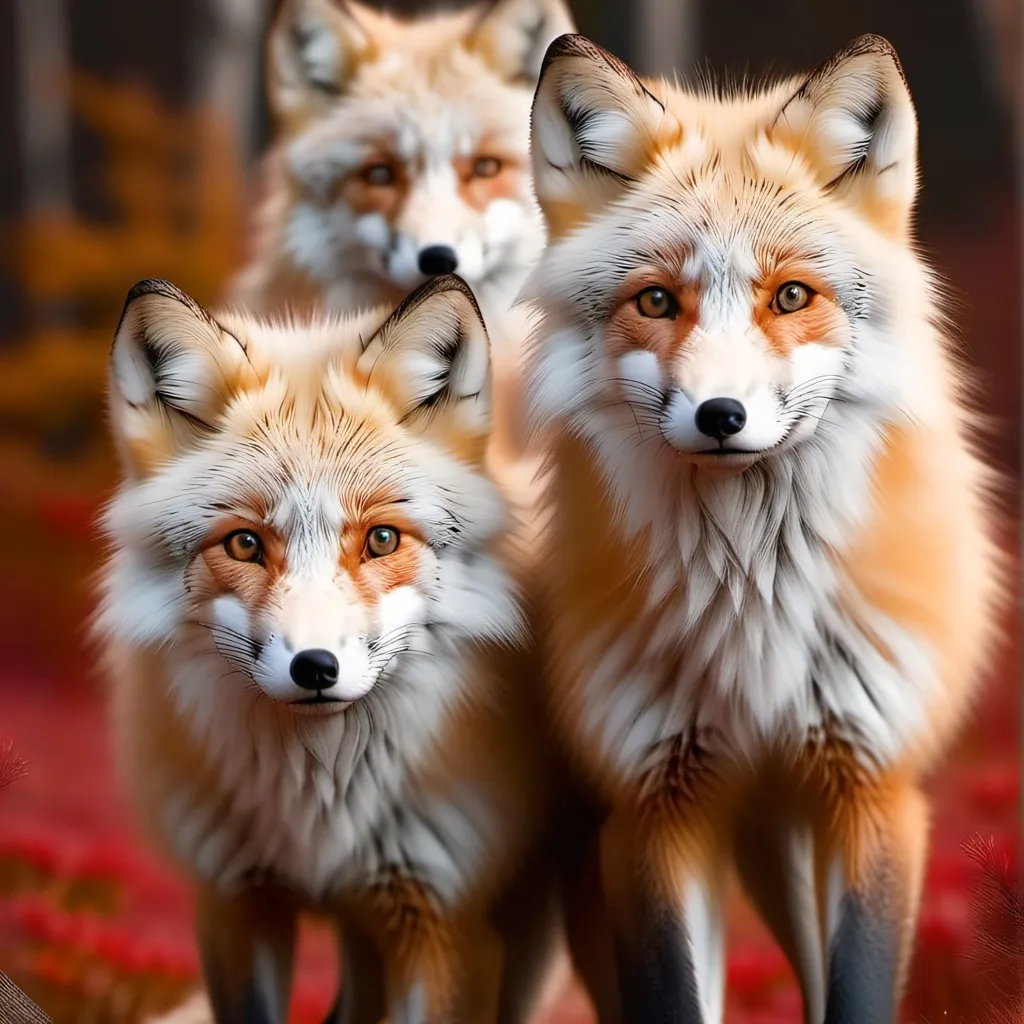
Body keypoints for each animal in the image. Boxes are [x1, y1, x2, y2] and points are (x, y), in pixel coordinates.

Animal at [95, 274, 560, 1024]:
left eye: (381, 539)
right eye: (244, 543)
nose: (315, 668)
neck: (318, 818)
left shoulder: (444, 917)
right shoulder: (236, 901)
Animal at [522, 31, 1005, 1024]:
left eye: (789, 296)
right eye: (656, 302)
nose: (721, 415)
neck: (756, 616)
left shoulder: (870, 785)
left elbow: (855, 994)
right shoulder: (654, 806)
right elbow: (674, 997)